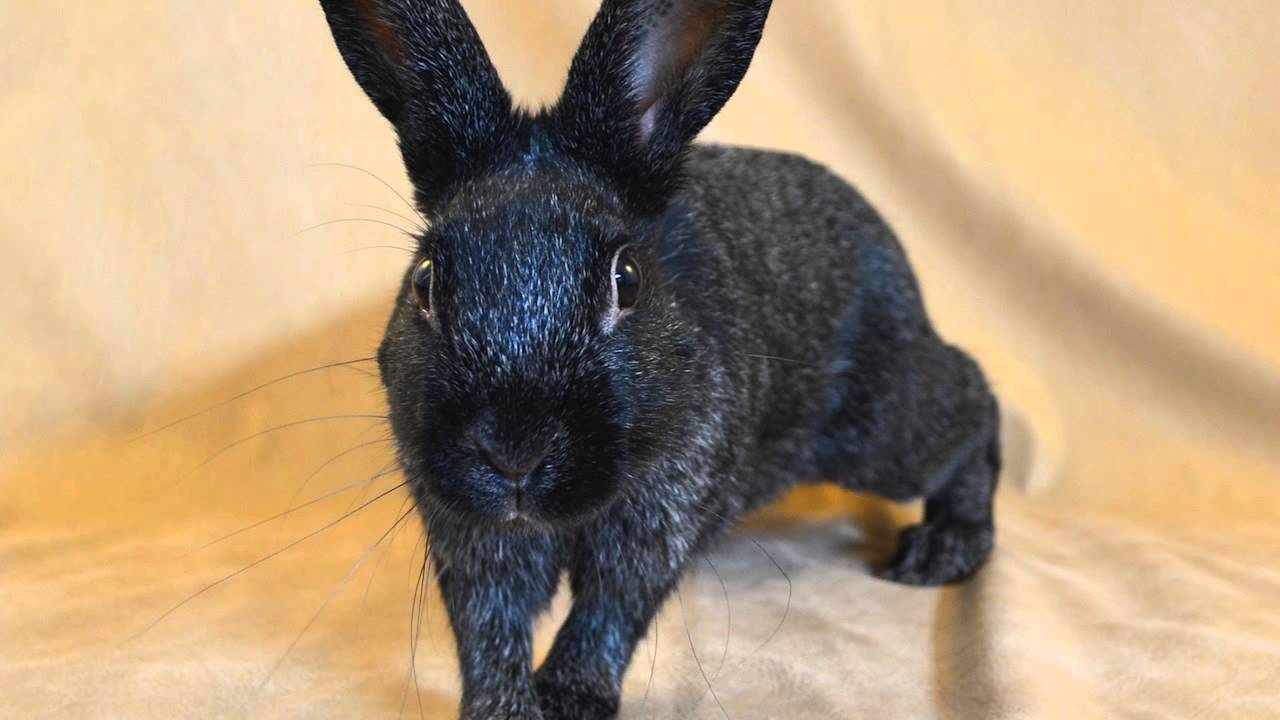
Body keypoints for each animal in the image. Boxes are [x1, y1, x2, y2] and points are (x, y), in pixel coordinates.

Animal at [317, 1, 1000, 718]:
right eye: (425, 281)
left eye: (628, 279)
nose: (515, 451)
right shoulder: (475, 536)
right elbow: (490, 628)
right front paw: (503, 709)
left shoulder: (658, 516)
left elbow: (609, 609)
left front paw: (569, 698)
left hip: (881, 428)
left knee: (973, 402)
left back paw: (942, 551)